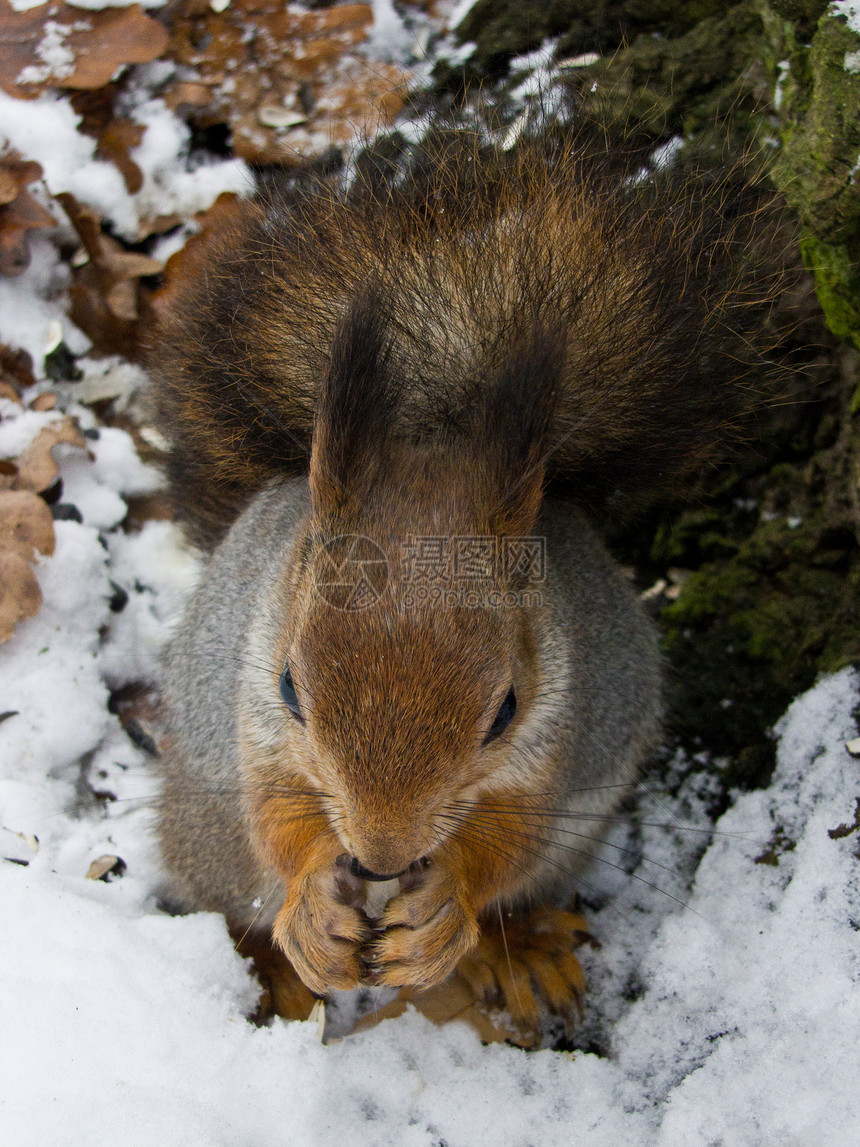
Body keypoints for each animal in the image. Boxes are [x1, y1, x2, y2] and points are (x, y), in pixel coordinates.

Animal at [150, 123, 788, 1032]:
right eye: (289, 688)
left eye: (506, 710)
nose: (381, 856)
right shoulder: (256, 715)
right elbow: (277, 812)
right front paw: (311, 911)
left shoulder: (556, 728)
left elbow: (508, 836)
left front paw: (448, 904)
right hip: (202, 823)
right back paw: (274, 965)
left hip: (578, 832)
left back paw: (515, 951)